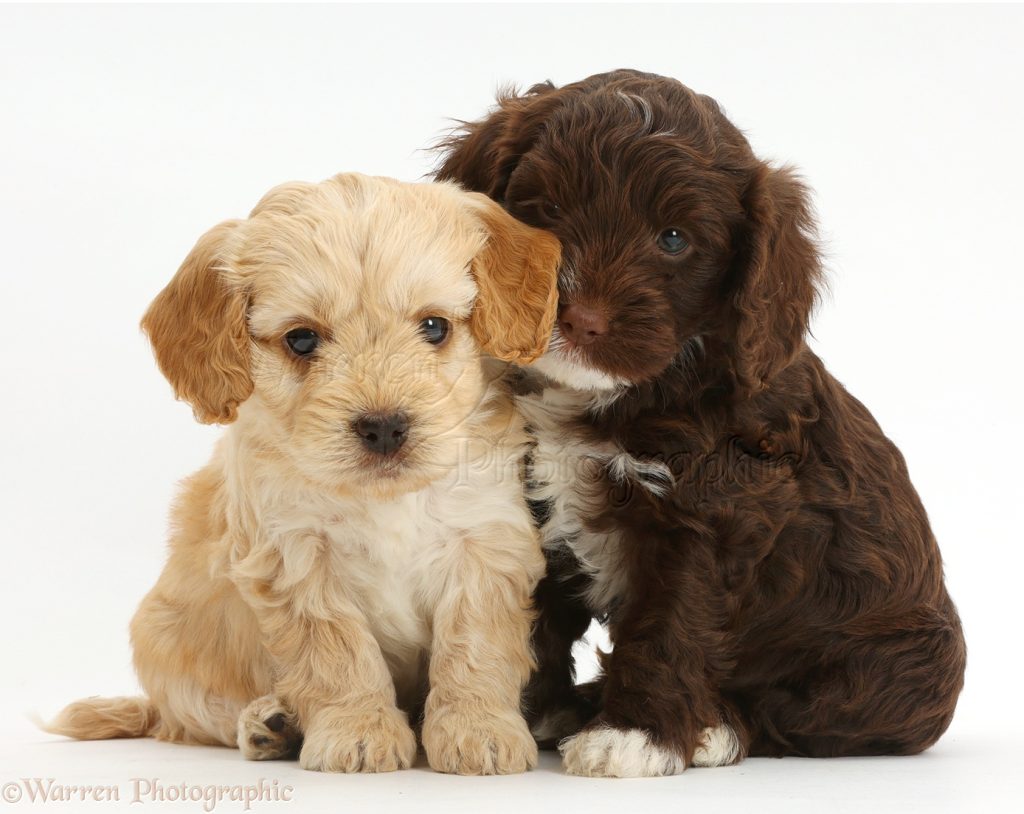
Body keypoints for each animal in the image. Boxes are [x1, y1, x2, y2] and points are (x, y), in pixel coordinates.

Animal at [46, 173, 561, 778]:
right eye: (301, 339)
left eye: (434, 327)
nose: (384, 427)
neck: (386, 497)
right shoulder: (295, 557)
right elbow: (337, 652)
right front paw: (358, 731)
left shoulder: (484, 541)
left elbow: (474, 643)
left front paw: (478, 728)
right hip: (168, 646)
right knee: (201, 719)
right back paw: (271, 725)